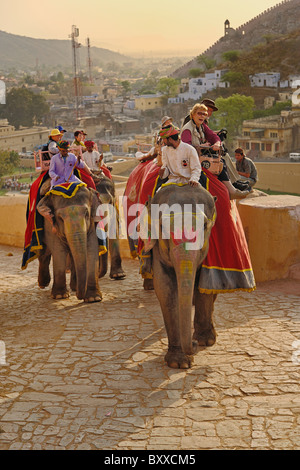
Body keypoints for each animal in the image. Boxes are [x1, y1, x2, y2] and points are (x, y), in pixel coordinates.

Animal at [142, 183, 217, 368]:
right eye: (162, 226)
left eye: (205, 225)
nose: (194, 345)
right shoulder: (158, 249)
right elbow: (165, 288)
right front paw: (179, 363)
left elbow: (205, 285)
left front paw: (204, 341)